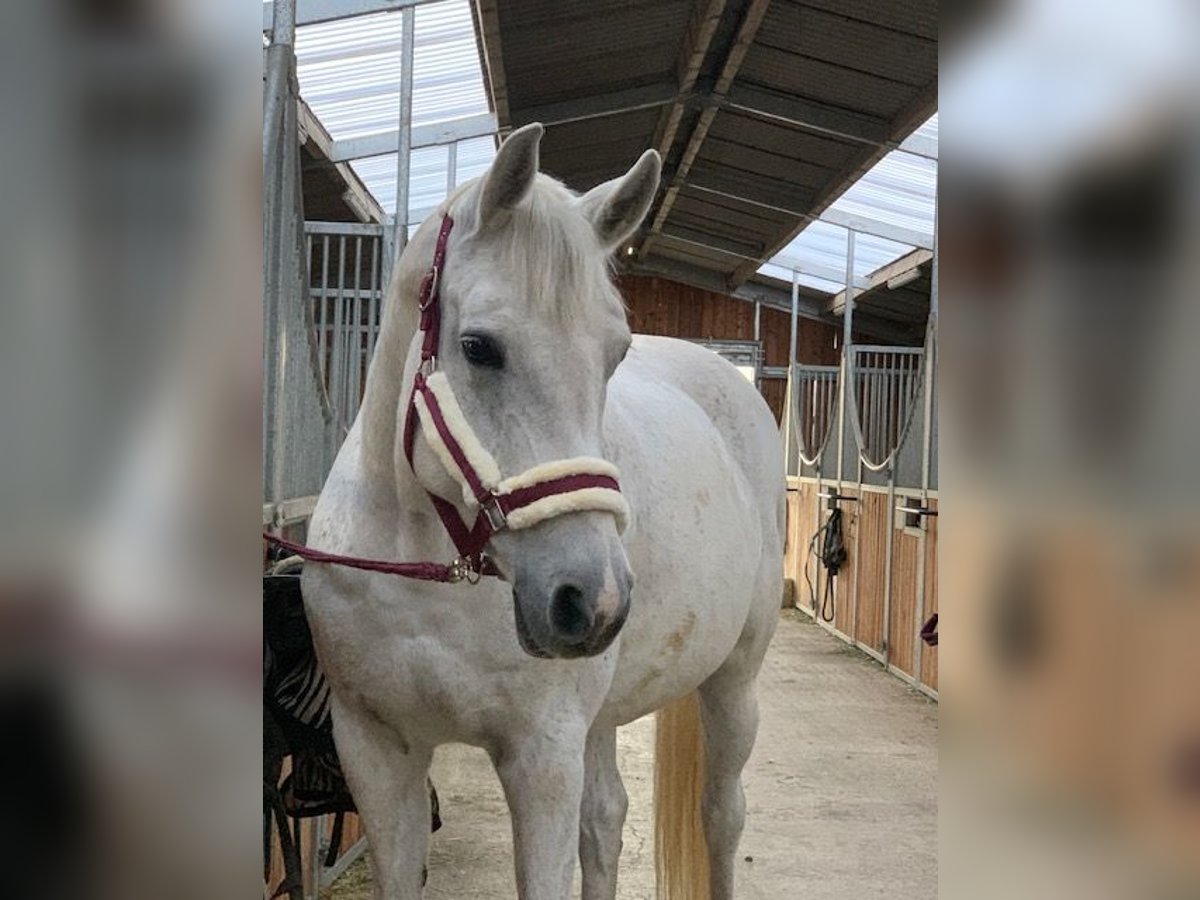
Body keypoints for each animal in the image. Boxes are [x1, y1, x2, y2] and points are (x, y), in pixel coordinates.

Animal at [304, 125, 782, 900]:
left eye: (615, 353)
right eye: (478, 347)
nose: (592, 597)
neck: (426, 572)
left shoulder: (542, 757)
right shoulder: (375, 752)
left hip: (733, 681)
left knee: (721, 813)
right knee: (607, 819)